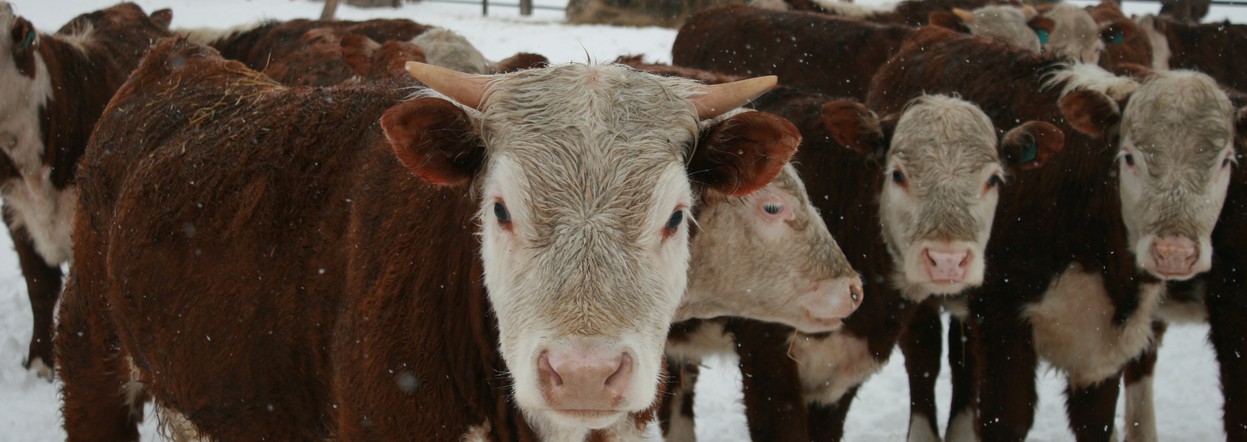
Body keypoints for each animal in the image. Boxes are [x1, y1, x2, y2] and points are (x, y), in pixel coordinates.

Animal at [867, 25, 1247, 439]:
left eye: (1225, 161)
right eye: (1129, 156)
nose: (1174, 251)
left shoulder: (1104, 344)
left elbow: (1095, 420)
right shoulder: (1003, 316)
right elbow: (1006, 417)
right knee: (924, 356)